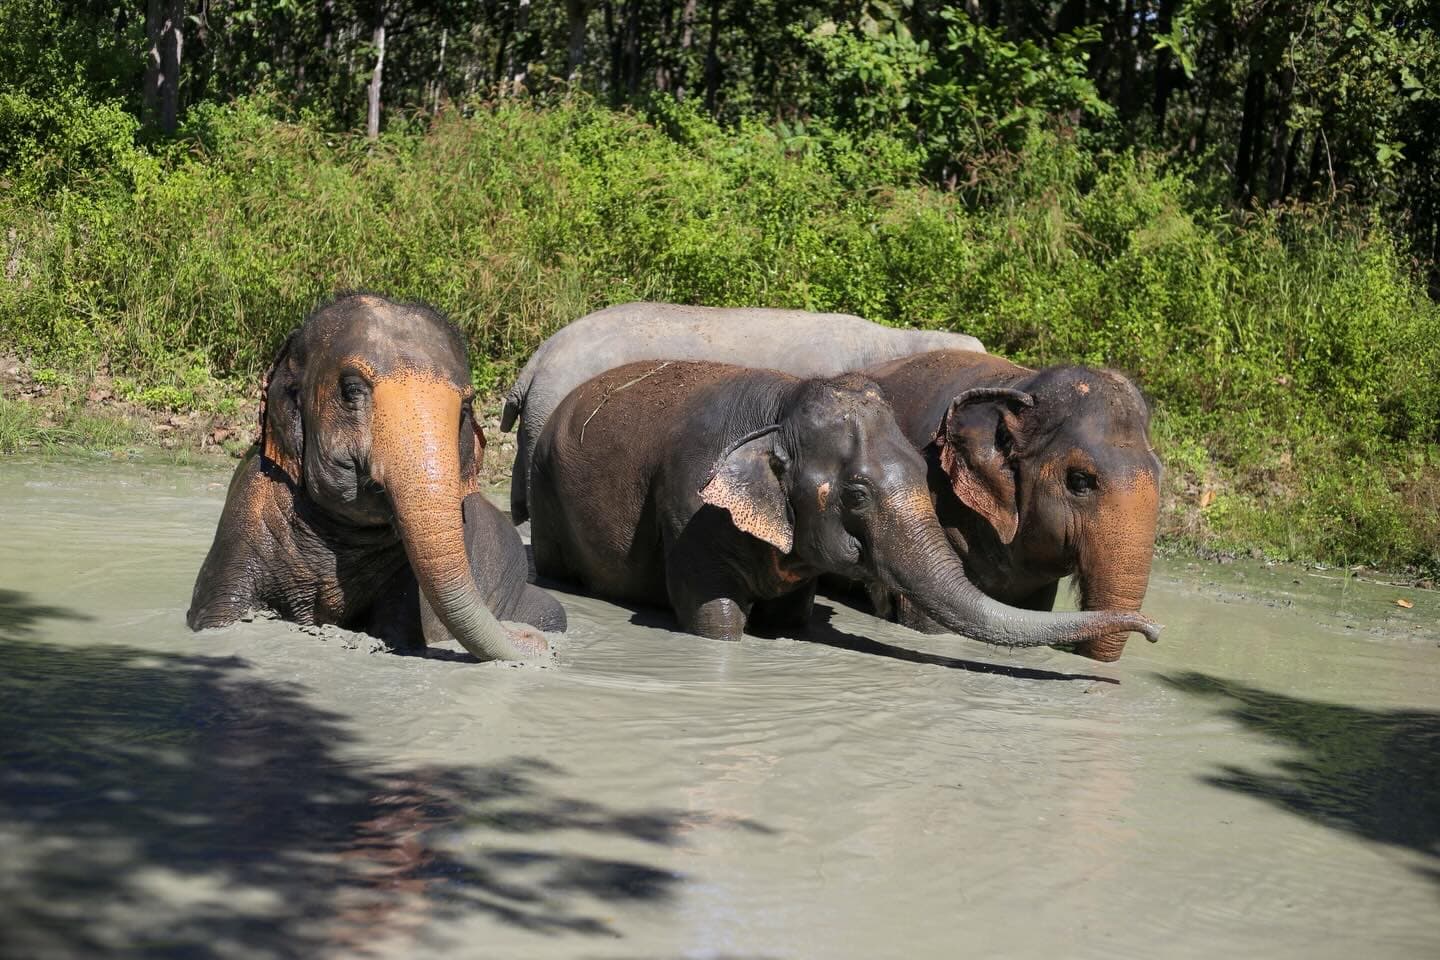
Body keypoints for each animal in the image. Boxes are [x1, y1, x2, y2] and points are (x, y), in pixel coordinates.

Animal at [187, 293, 564, 661]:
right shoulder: (242, 523)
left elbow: (399, 633)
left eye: (466, 407)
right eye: (352, 390)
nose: (527, 637)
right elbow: (217, 615)